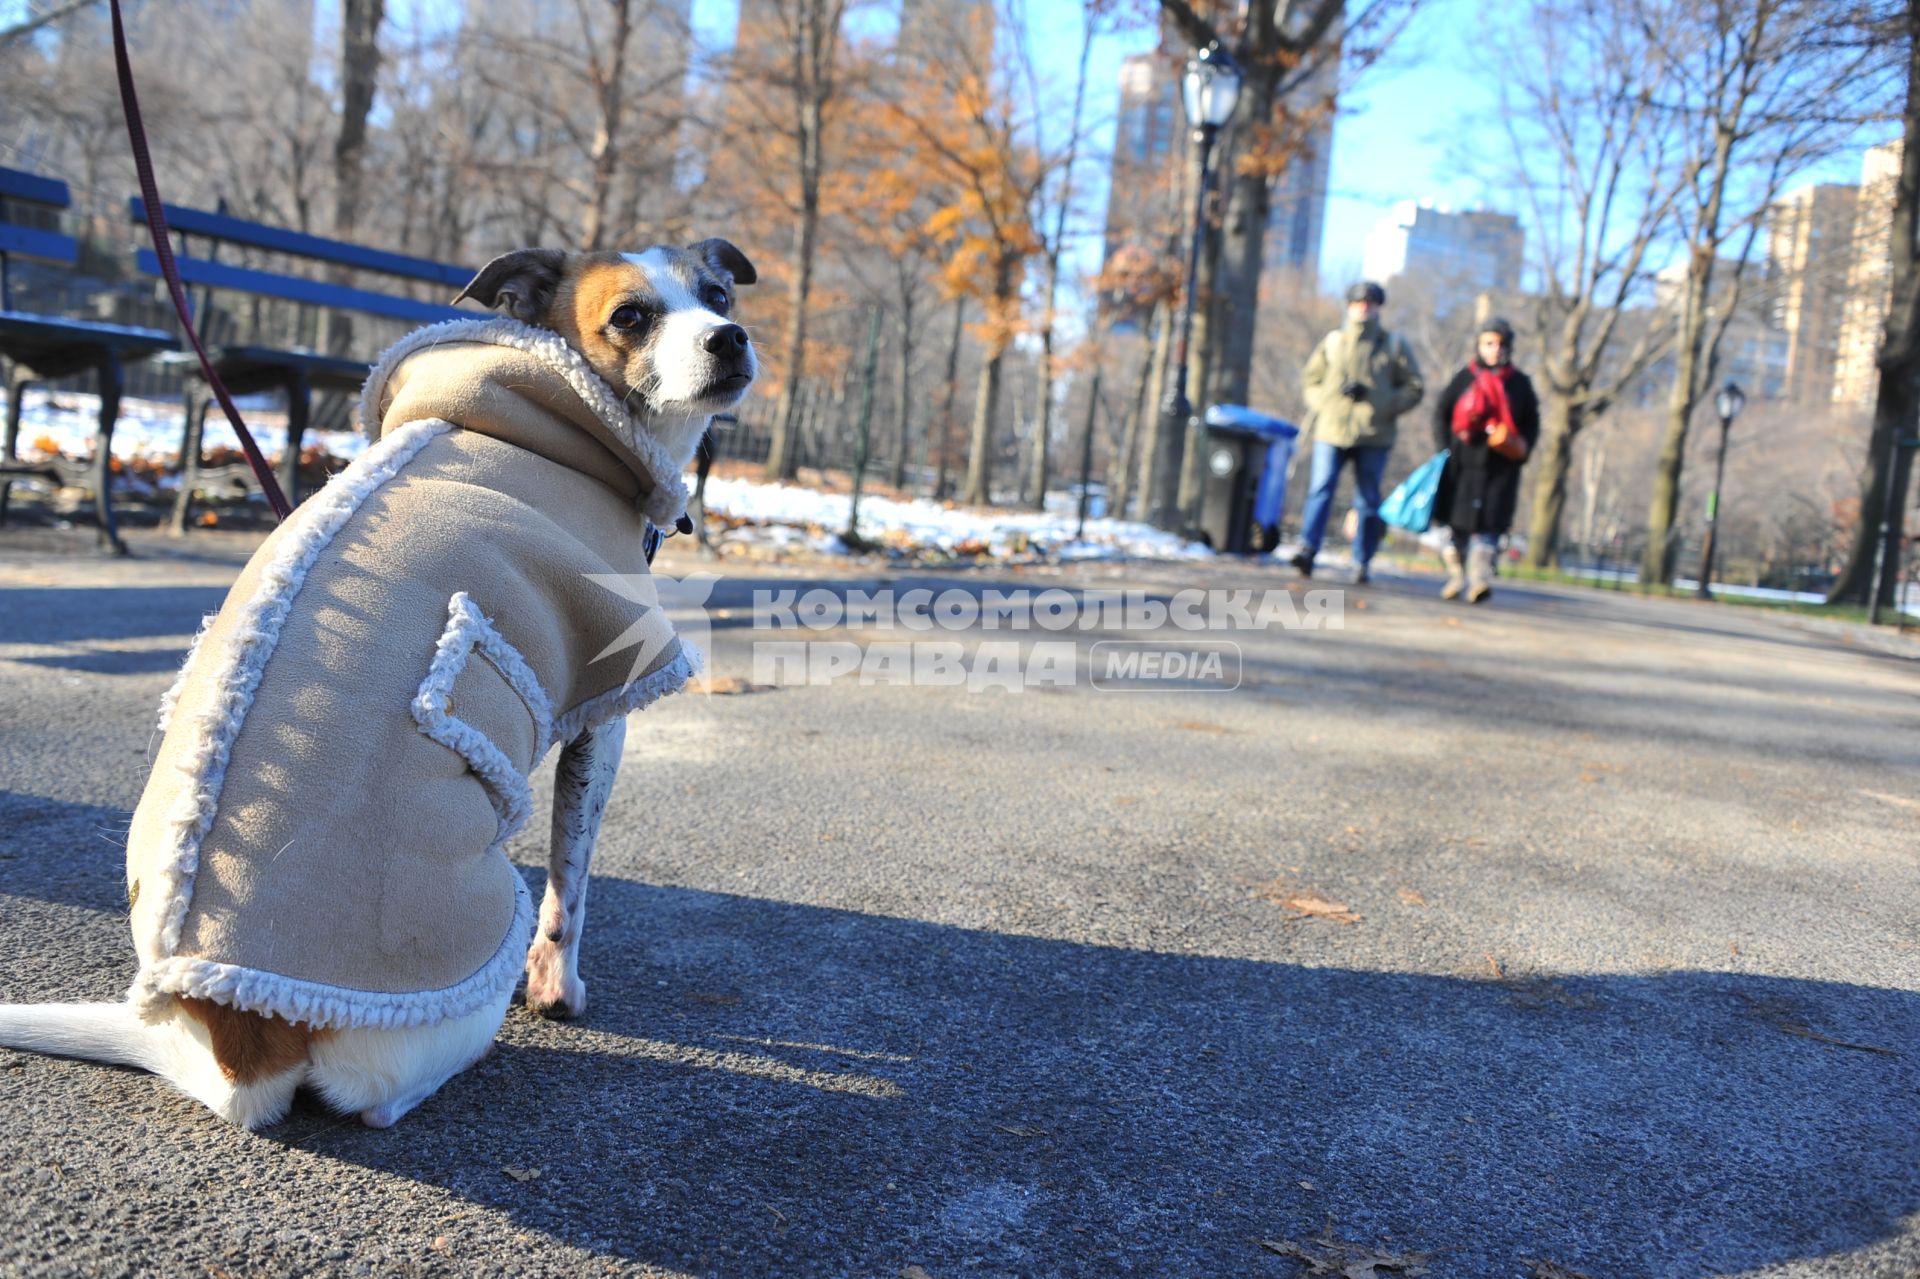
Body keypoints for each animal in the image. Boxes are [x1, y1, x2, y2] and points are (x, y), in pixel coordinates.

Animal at [0, 239, 756, 1129]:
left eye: (716, 293)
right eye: (631, 316)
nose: (729, 338)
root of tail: (237, 1046)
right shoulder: (606, 708)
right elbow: (570, 885)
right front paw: (558, 987)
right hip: (476, 926)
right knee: (388, 1097)